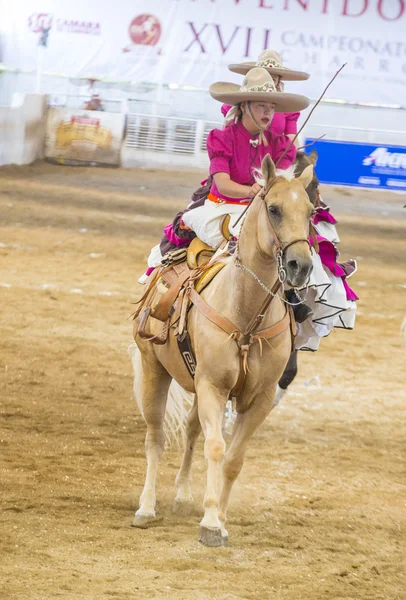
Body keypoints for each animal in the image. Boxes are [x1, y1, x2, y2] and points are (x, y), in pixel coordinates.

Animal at [132, 156, 314, 548]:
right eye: (274, 209)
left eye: (310, 211)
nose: (301, 266)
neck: (247, 317)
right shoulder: (213, 387)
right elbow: (215, 448)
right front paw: (211, 523)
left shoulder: (259, 398)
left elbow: (233, 458)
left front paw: (222, 518)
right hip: (155, 370)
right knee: (155, 438)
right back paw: (146, 507)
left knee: (190, 430)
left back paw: (184, 495)